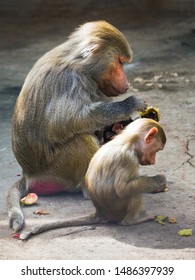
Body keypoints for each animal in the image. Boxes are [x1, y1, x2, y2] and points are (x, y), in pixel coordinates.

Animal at [8, 20, 148, 232]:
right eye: (120, 62)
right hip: (55, 171)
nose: (126, 84)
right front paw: (130, 104)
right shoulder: (70, 80)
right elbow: (66, 122)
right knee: (82, 140)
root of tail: (29, 173)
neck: (81, 65)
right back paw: (90, 190)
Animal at [19, 118, 166, 241]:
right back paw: (132, 221)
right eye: (157, 150)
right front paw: (157, 181)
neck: (128, 142)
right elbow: (123, 188)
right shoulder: (127, 158)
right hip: (118, 210)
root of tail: (100, 213)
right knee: (133, 194)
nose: (153, 161)